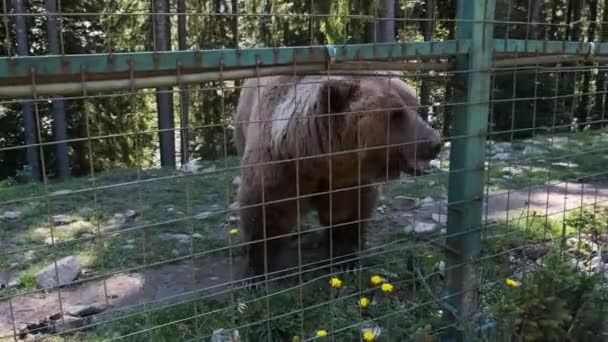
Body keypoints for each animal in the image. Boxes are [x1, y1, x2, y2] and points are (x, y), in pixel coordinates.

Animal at [234, 75, 442, 284]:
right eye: (396, 113)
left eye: (415, 106)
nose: (435, 143)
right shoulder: (282, 167)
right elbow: (266, 211)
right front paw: (255, 274)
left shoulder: (345, 179)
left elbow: (346, 212)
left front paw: (346, 261)